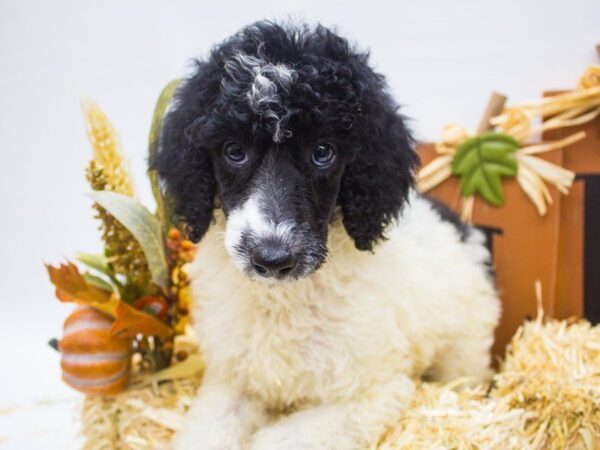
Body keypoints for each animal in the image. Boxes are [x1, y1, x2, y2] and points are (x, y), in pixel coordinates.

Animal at [152, 20, 500, 450]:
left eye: (323, 152)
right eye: (234, 150)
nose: (272, 258)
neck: (283, 300)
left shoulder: (373, 391)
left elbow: (285, 439)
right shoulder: (231, 380)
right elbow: (208, 431)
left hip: (463, 348)